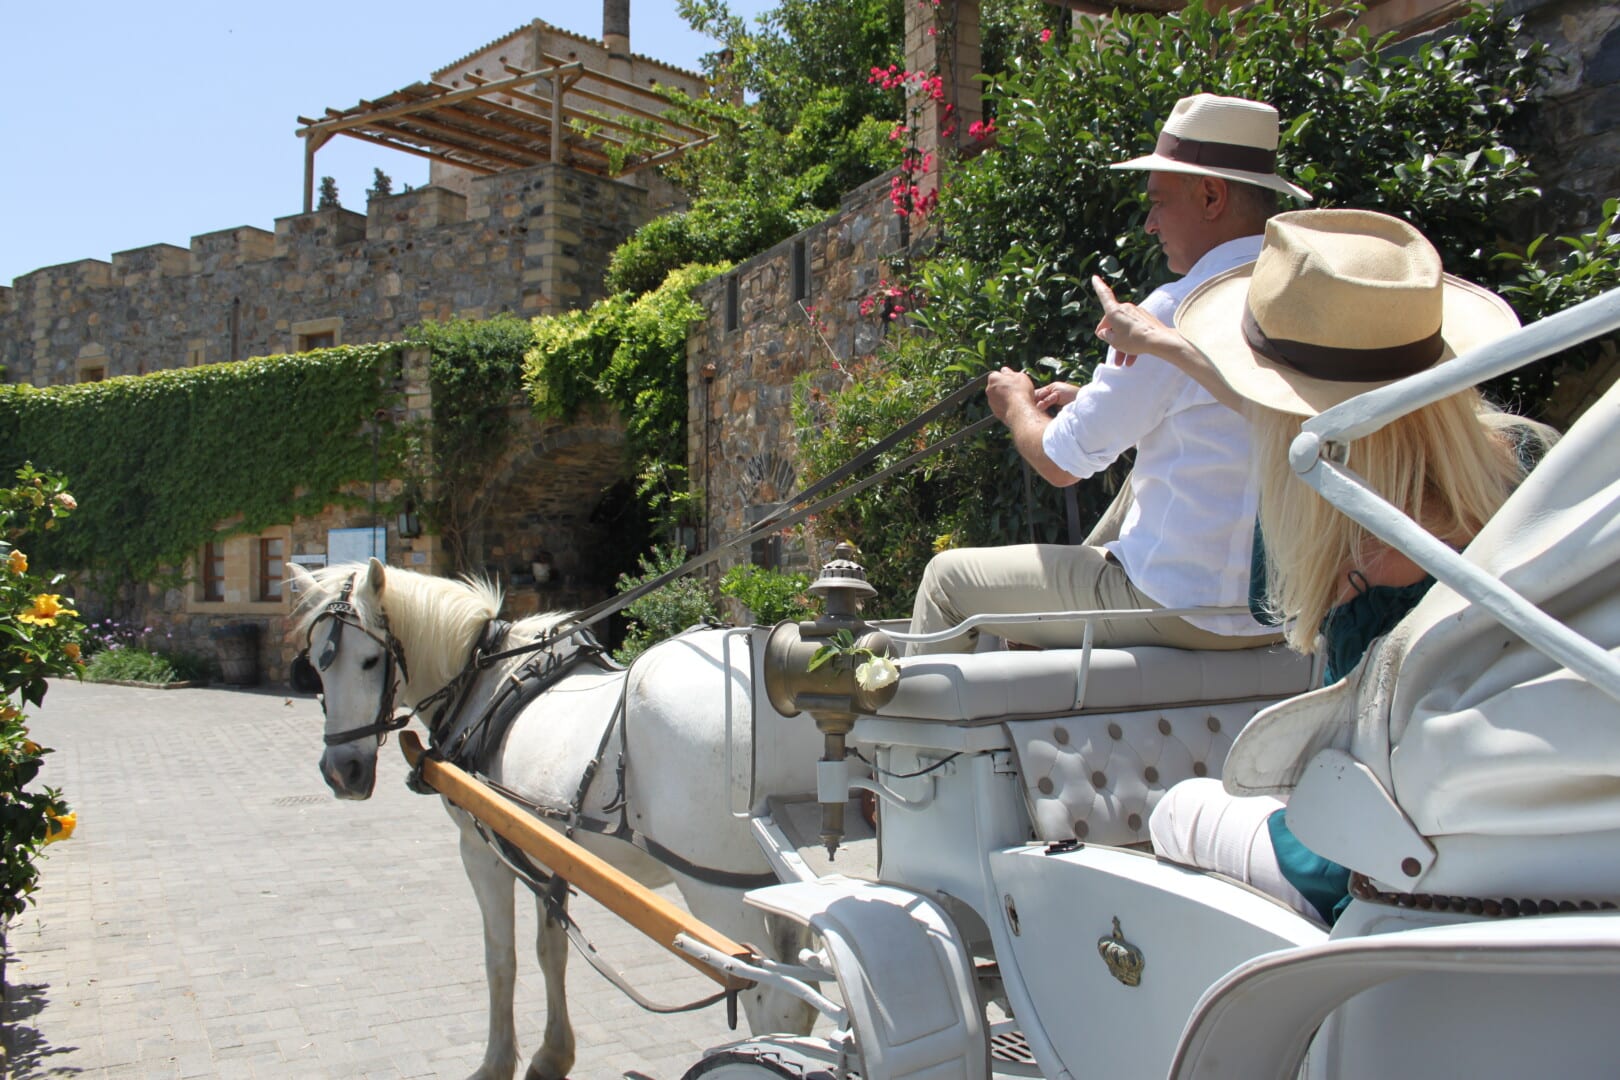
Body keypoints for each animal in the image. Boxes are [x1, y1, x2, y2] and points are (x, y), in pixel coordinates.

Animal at [288, 563, 822, 1080]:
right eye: (315, 662)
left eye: (369, 660)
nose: (343, 771)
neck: (484, 679)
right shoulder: (551, 855)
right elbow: (552, 950)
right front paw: (553, 1055)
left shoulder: (481, 850)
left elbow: (500, 958)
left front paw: (496, 1063)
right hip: (775, 878)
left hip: (717, 887)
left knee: (772, 997)